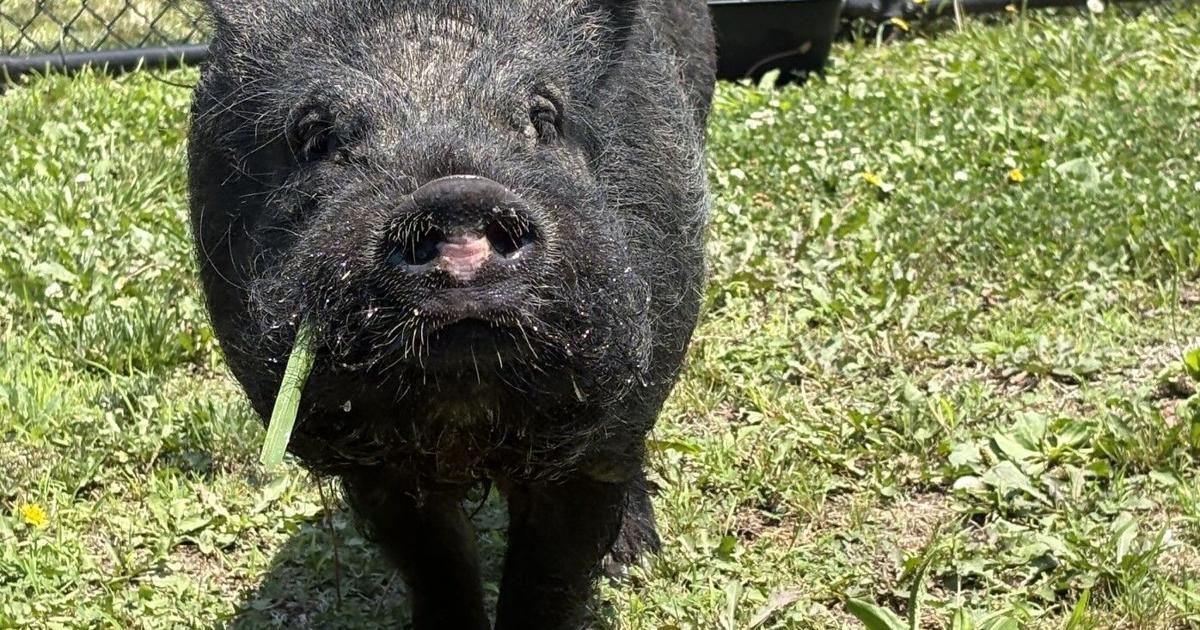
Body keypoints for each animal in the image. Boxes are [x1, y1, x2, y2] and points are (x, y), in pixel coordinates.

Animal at [187, 1, 716, 627]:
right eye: (314, 134)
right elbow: (437, 565)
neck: (465, 415)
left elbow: (550, 577)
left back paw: (633, 559)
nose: (457, 194)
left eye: (543, 115)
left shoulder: (593, 442)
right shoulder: (378, 468)